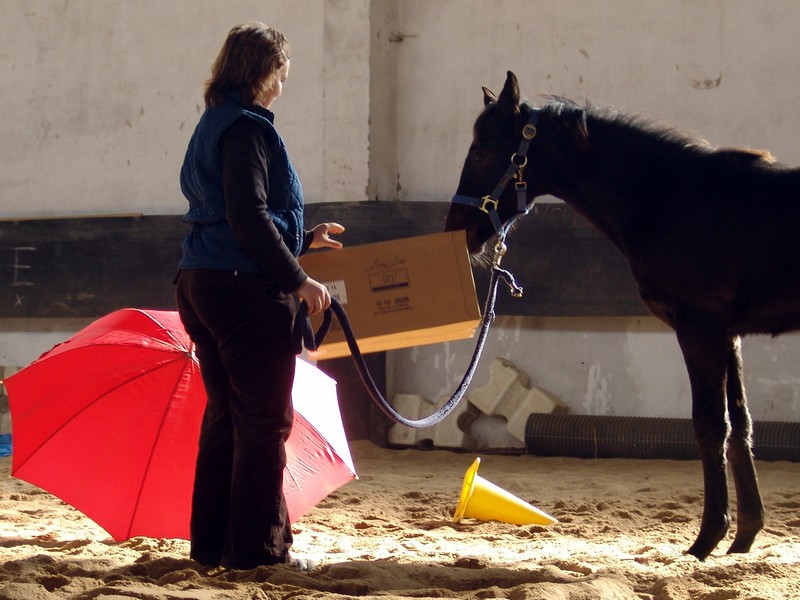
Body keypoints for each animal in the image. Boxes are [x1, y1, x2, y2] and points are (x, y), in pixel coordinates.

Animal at [445, 71, 800, 560]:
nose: (457, 230)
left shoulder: (700, 328)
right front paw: (744, 537)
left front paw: (706, 539)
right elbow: (741, 424)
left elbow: (710, 424)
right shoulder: (729, 334)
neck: (675, 201)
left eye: (481, 151)